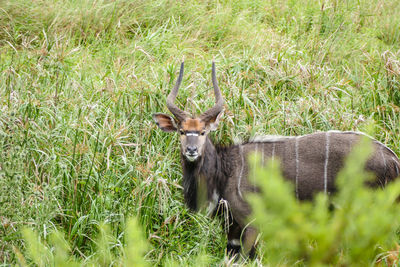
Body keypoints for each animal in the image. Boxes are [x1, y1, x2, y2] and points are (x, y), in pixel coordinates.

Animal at [152, 61, 398, 260]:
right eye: (182, 131)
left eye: (203, 132)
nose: (192, 150)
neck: (226, 169)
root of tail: (393, 159)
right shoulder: (232, 229)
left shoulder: (252, 223)